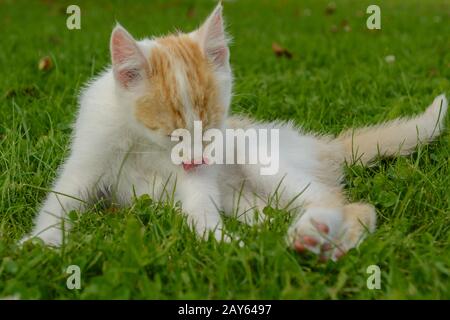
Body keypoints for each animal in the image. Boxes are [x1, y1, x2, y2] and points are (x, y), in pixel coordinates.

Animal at [22, 3, 446, 262]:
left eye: (211, 128)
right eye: (172, 133)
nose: (196, 158)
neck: (141, 140)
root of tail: (319, 144)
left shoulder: (202, 172)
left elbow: (199, 205)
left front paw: (224, 245)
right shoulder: (91, 150)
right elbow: (63, 196)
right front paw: (40, 242)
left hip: (257, 154)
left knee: (346, 203)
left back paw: (317, 236)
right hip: (243, 197)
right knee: (271, 210)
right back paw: (303, 235)